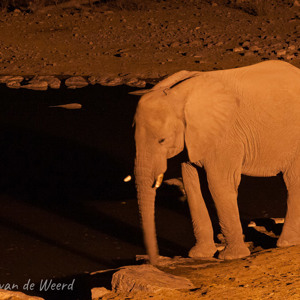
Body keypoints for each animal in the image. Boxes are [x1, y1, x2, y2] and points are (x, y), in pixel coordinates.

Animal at [132, 60, 300, 264]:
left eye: (162, 140)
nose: (154, 262)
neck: (178, 95)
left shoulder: (225, 137)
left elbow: (218, 184)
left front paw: (231, 257)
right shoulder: (193, 140)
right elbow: (192, 183)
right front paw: (200, 255)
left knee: (293, 181)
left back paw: (287, 243)